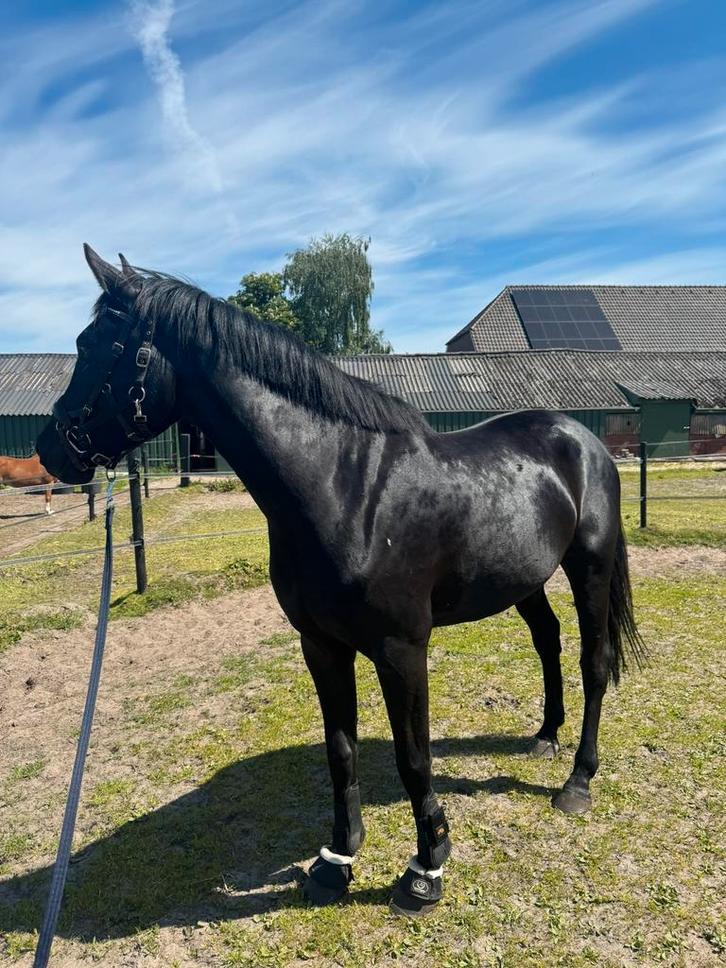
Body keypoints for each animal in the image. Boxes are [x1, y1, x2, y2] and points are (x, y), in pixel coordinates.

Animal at [37, 245, 646, 917]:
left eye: (93, 344)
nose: (49, 448)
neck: (342, 488)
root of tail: (583, 438)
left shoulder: (402, 650)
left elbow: (413, 756)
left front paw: (427, 867)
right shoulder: (321, 644)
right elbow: (341, 748)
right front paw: (337, 859)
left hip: (589, 566)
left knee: (595, 660)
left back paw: (577, 781)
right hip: (523, 581)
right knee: (548, 642)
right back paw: (544, 736)